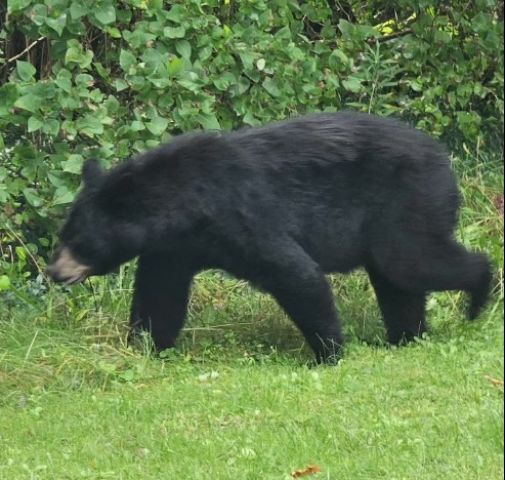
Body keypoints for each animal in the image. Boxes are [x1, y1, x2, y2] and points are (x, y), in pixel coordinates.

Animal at [46, 111, 488, 360]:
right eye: (62, 235)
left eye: (79, 241)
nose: (53, 271)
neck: (184, 204)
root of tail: (443, 156)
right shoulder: (174, 247)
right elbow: (160, 294)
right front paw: (144, 347)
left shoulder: (239, 214)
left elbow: (294, 271)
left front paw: (330, 353)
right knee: (397, 280)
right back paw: (405, 337)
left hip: (408, 199)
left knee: (411, 262)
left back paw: (479, 297)